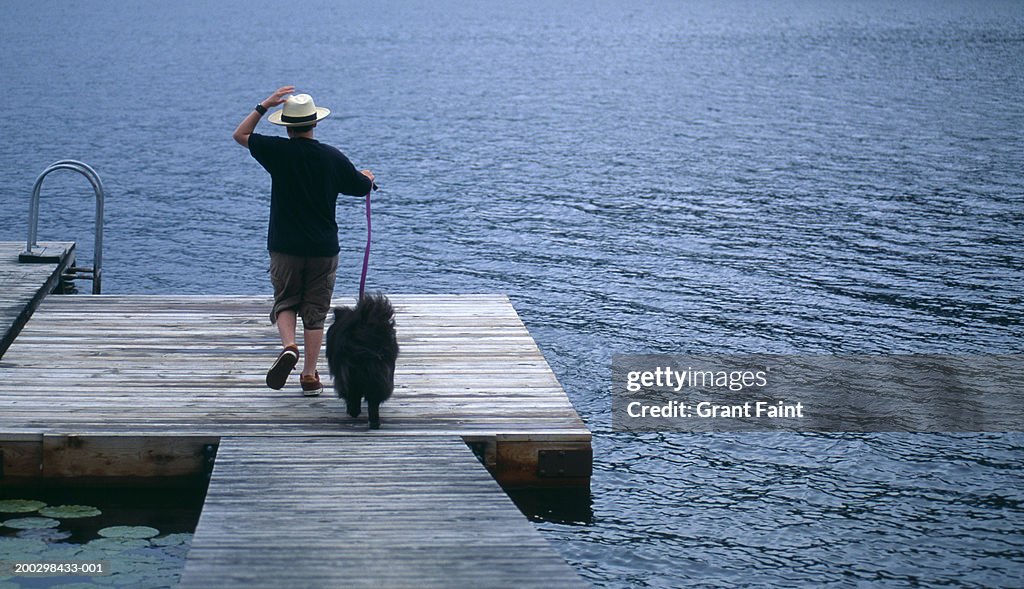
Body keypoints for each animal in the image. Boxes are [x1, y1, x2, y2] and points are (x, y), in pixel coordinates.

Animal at [325, 292, 397, 428]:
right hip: (382, 372)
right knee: (374, 401)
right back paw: (374, 423)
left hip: (350, 373)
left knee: (354, 394)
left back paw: (354, 412)